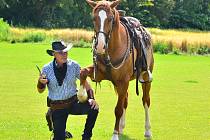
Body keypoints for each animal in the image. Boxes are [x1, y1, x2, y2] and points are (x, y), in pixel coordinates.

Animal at [82, 0, 154, 139]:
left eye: (110, 19)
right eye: (94, 18)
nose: (100, 47)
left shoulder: (123, 81)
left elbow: (118, 109)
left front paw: (114, 135)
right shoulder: (100, 74)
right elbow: (82, 71)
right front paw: (81, 93)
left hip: (145, 77)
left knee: (145, 100)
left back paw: (147, 130)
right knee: (125, 99)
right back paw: (121, 127)